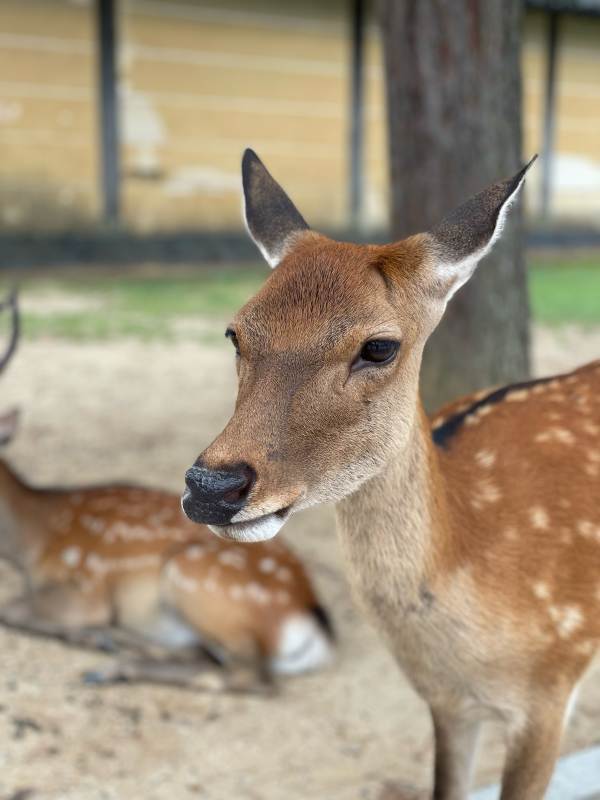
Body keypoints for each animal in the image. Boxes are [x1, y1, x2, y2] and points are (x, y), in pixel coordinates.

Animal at [0, 290, 332, 692]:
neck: (34, 540)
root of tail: (315, 623)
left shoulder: (86, 584)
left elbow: (10, 608)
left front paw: (89, 634)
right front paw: (95, 636)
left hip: (194, 576)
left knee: (245, 674)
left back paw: (112, 665)